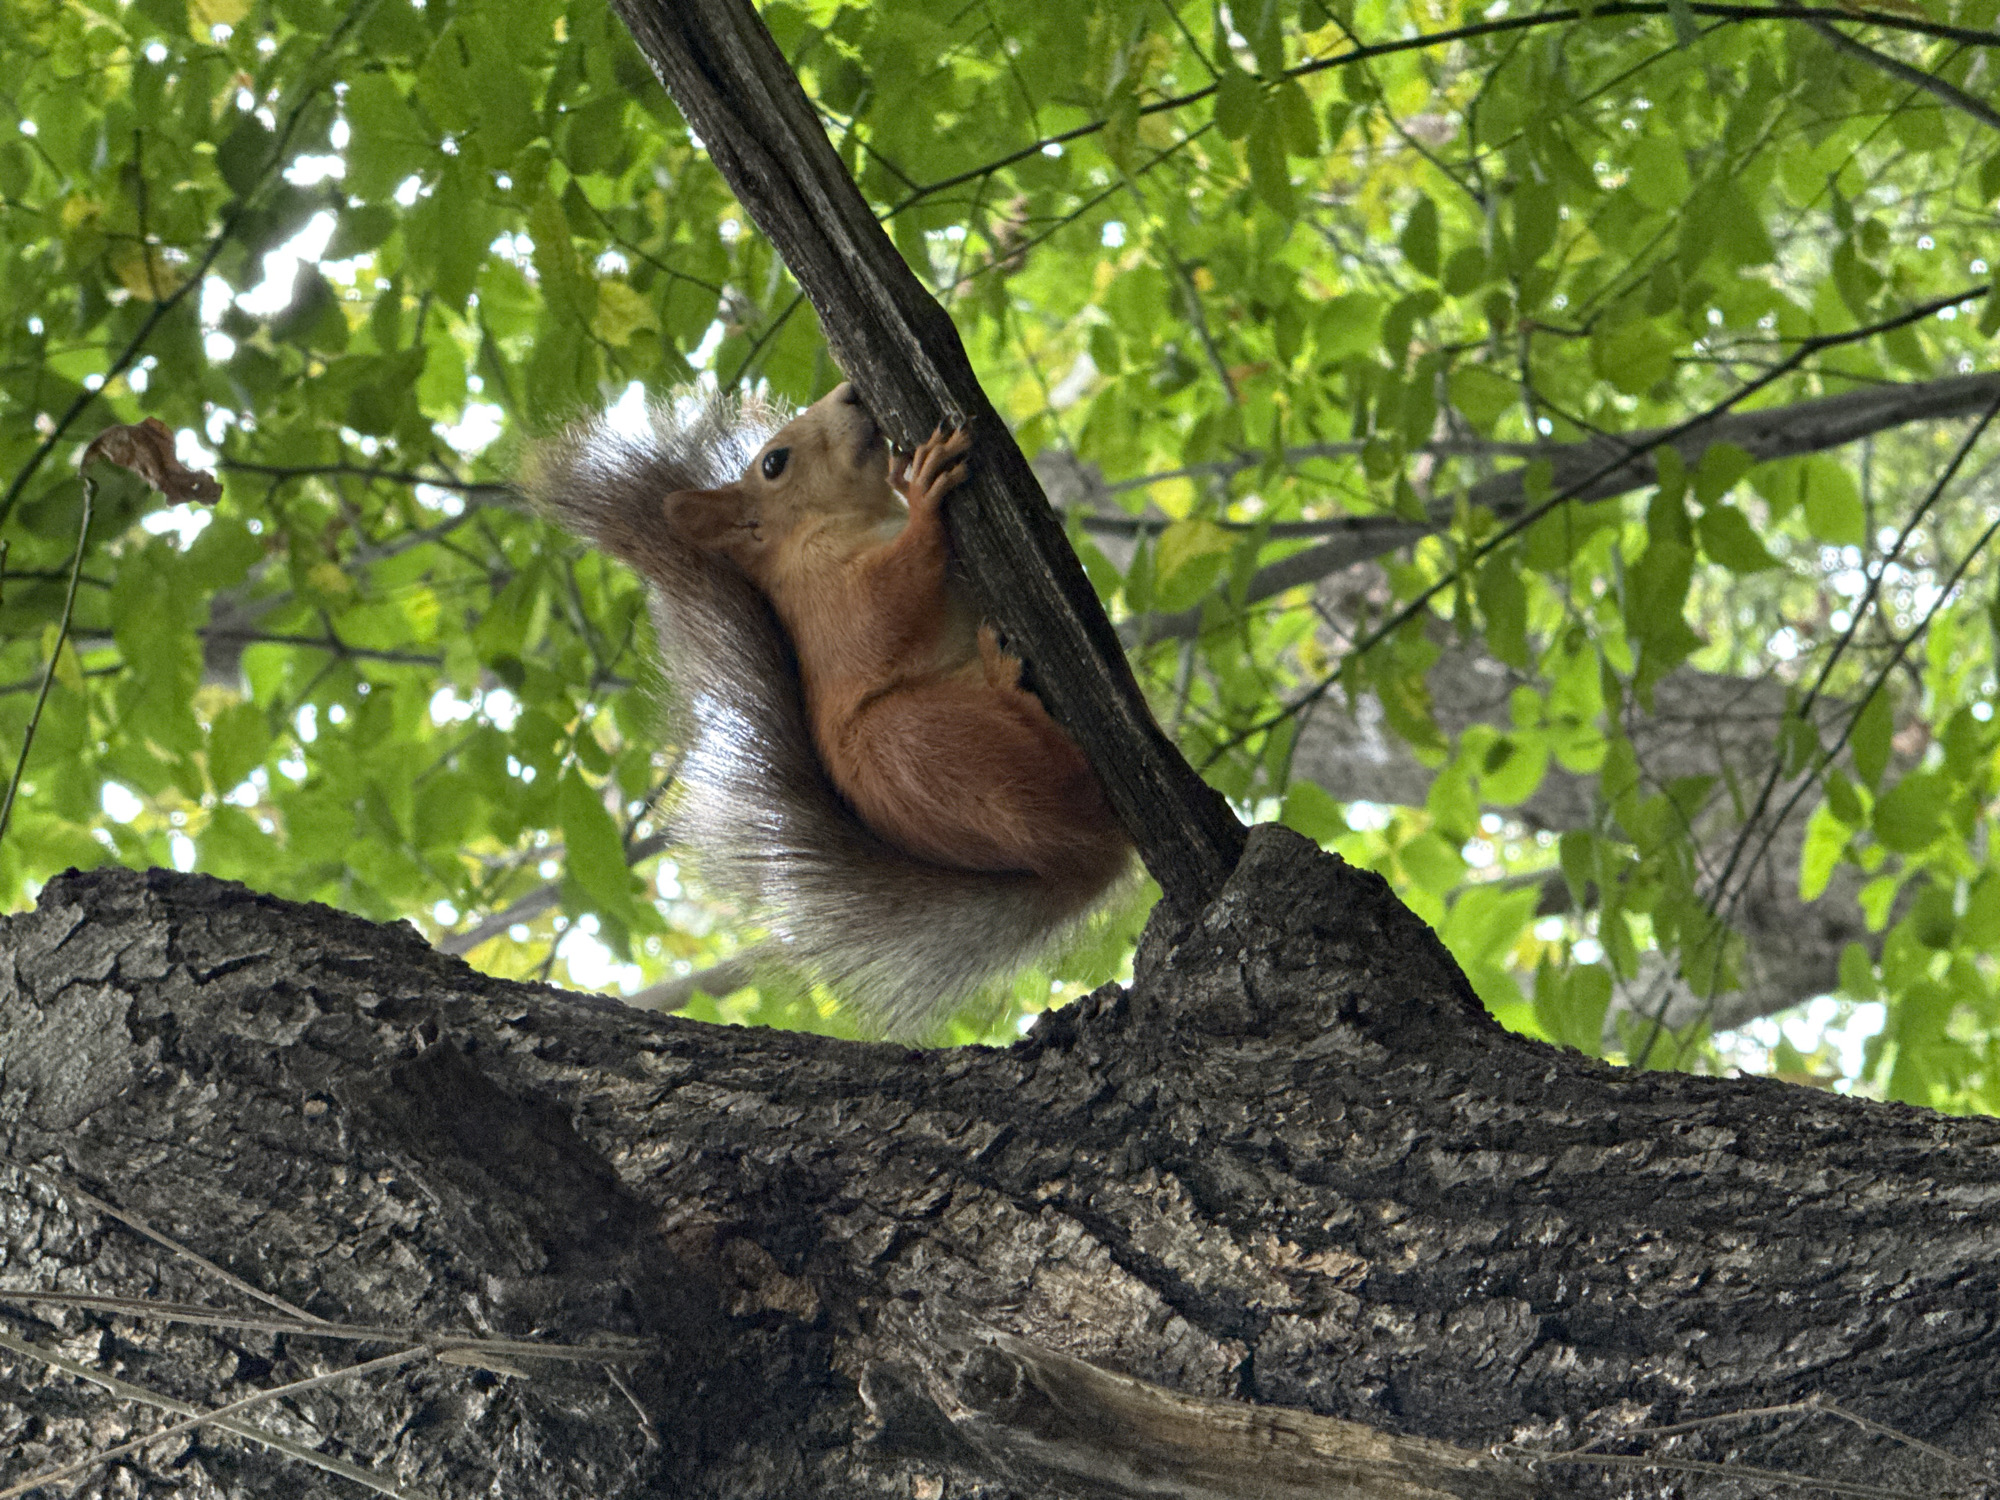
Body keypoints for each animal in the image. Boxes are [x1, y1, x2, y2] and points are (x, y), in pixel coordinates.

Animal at [530, 381, 1131, 1035]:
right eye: (773, 463)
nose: (850, 391)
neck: (855, 519)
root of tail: (1078, 862)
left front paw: (902, 475)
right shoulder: (829, 606)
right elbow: (883, 607)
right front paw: (923, 494)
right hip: (915, 742)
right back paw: (1009, 687)